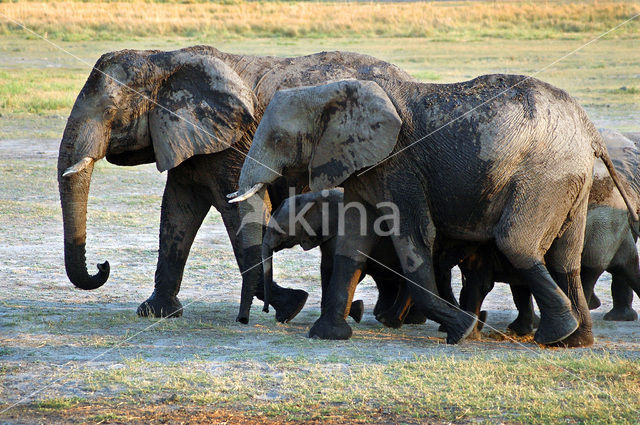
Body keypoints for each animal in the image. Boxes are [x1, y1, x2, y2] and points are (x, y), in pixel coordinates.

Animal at [262, 188, 428, 324]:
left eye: (279, 230)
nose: (266, 311)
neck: (312, 196)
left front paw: (357, 310)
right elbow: (326, 268)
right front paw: (354, 310)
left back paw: (388, 320)